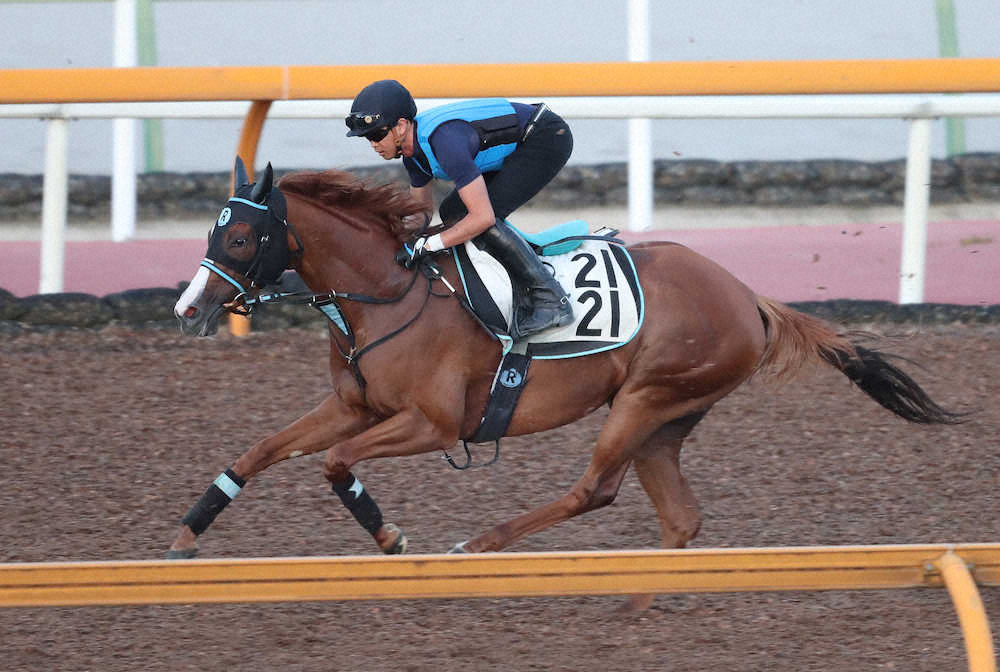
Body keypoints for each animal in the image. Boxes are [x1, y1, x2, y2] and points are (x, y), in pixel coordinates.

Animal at [170, 158, 961, 608]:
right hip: (667, 420)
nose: (188, 310)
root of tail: (749, 297)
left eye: (237, 237)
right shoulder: (353, 404)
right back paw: (634, 605)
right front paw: (185, 536)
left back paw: (482, 546)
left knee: (594, 489)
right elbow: (260, 451)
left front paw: (393, 539)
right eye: (212, 233)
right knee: (680, 519)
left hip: (647, 397)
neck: (389, 292)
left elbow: (336, 464)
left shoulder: (434, 423)